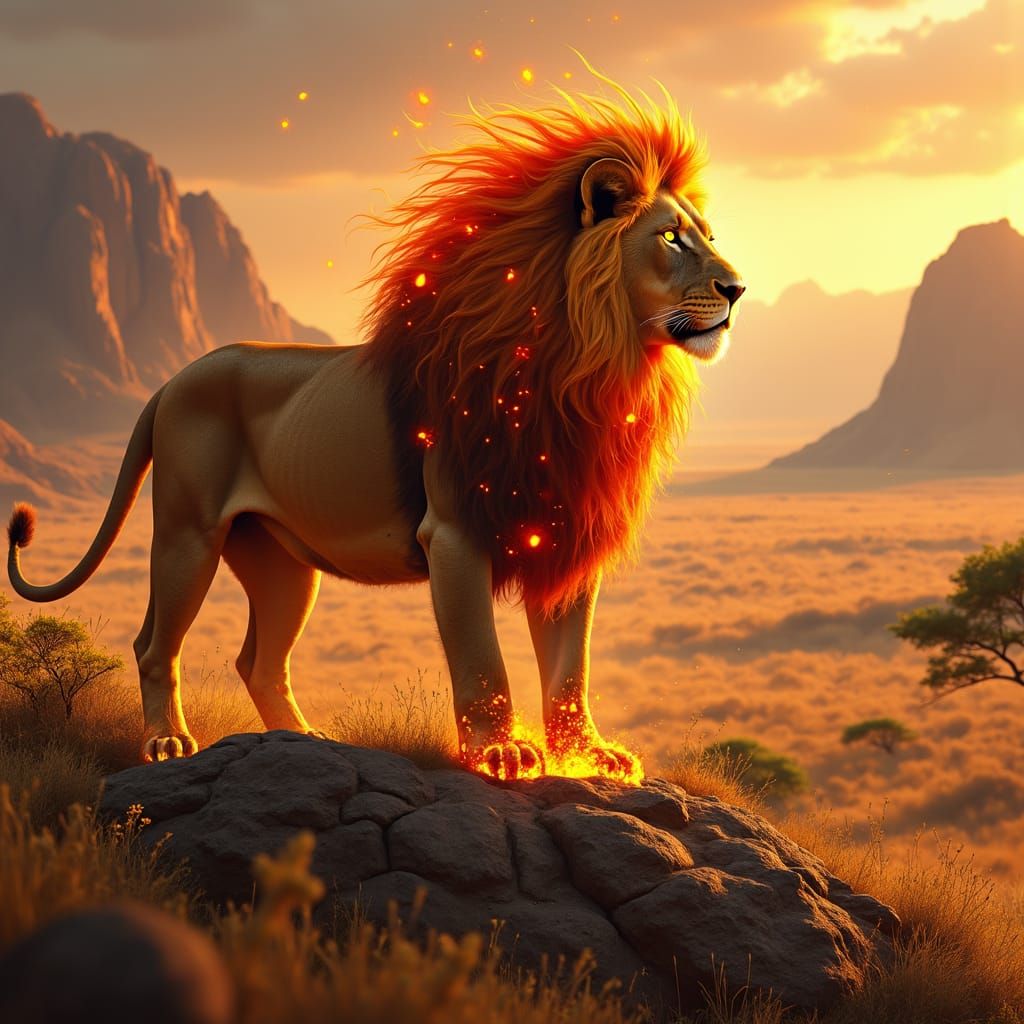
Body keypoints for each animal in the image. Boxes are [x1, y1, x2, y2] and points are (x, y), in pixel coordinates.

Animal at [6, 71, 743, 779]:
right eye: (670, 237)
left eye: (708, 235)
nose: (737, 289)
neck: (587, 368)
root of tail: (172, 378)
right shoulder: (453, 532)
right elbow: (483, 659)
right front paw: (501, 753)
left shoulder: (563, 533)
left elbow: (571, 666)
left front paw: (588, 755)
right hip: (189, 533)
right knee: (154, 644)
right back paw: (168, 743)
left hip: (281, 563)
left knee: (258, 660)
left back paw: (305, 741)